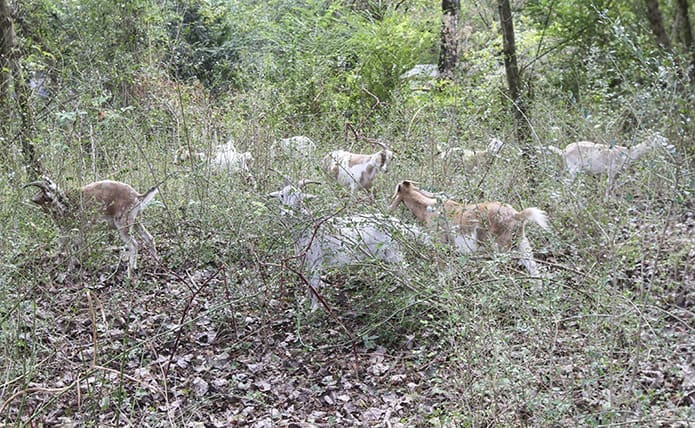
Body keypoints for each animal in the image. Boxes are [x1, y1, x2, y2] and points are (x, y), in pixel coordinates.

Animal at [24, 176, 158, 276]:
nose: (64, 204)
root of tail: (137, 196)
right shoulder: (71, 230)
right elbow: (66, 245)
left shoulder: (73, 228)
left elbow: (70, 246)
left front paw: (70, 267)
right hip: (135, 221)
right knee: (149, 238)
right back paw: (154, 262)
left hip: (123, 223)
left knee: (134, 244)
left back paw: (130, 271)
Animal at [268, 180, 427, 311]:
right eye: (281, 196)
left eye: (300, 198)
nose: (286, 213)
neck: (309, 229)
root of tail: (397, 225)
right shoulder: (306, 261)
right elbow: (308, 283)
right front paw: (306, 303)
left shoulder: (316, 260)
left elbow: (314, 283)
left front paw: (314, 309)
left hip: (394, 253)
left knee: (406, 273)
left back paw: (411, 299)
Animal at [389, 180, 548, 277]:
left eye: (396, 192)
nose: (389, 208)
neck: (426, 208)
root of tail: (517, 215)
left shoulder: (440, 242)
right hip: (522, 243)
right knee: (533, 267)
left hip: (501, 246)